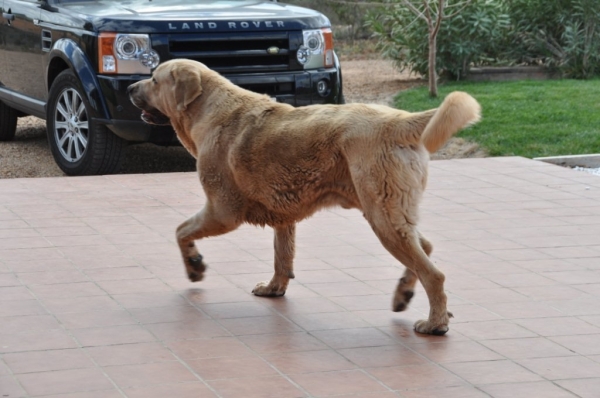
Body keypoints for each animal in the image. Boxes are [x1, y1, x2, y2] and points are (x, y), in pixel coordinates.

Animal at [129, 58, 480, 332]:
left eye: (154, 79)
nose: (131, 88)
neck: (208, 108)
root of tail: (401, 120)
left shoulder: (222, 211)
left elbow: (180, 231)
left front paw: (194, 266)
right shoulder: (283, 217)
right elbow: (282, 256)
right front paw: (274, 288)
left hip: (382, 218)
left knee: (433, 273)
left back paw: (435, 323)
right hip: (390, 212)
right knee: (426, 248)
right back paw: (405, 295)